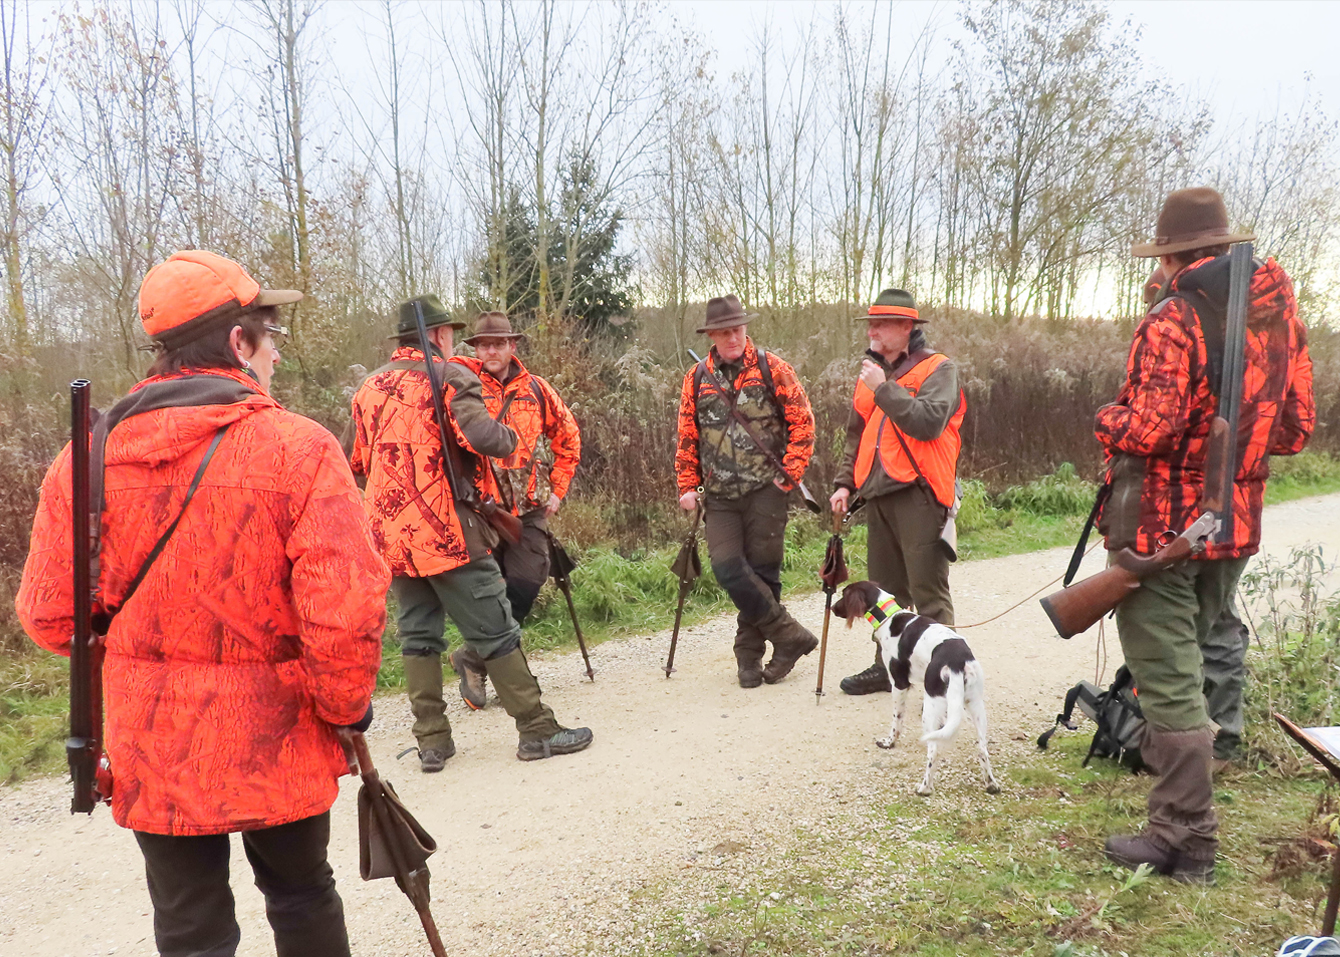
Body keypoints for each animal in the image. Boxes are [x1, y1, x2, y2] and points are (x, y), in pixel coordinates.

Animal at [831, 580, 1000, 796]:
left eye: (844, 594)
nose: (832, 608)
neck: (888, 616)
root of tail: (956, 662)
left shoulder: (899, 684)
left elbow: (896, 720)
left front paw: (889, 742)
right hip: (975, 705)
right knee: (982, 749)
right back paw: (991, 784)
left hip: (931, 704)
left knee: (933, 750)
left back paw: (925, 788)